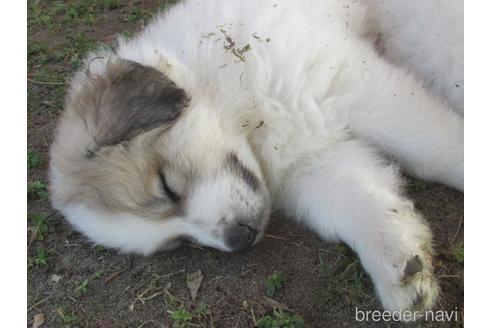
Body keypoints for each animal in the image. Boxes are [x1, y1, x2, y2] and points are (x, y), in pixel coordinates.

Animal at [50, 0, 466, 316]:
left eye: (167, 187)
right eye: (178, 243)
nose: (239, 240)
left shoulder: (353, 87)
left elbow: (433, 147)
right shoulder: (314, 166)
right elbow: (364, 206)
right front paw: (402, 269)